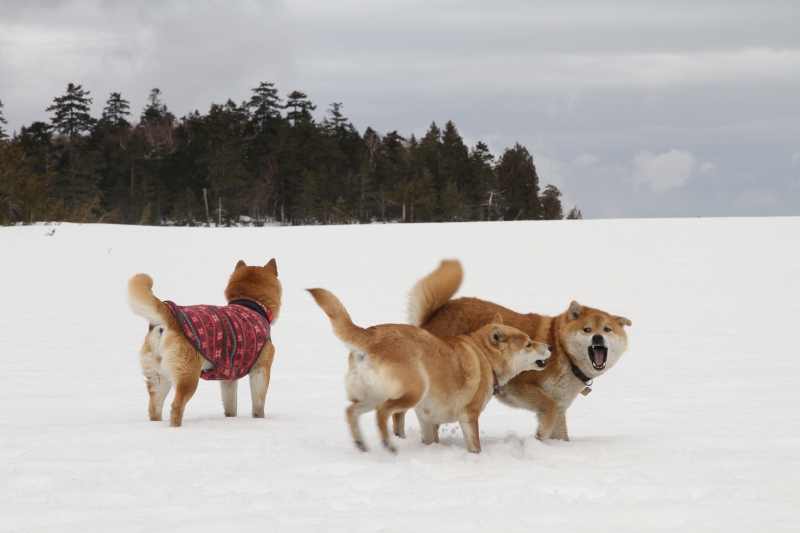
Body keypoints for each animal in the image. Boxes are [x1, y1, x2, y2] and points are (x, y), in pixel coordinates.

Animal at [127, 260, 282, 426]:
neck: (251, 303)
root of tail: (170, 319)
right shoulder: (261, 370)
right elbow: (258, 404)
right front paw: (259, 421)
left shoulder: (228, 376)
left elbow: (230, 404)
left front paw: (231, 419)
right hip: (189, 376)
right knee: (176, 405)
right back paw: (176, 427)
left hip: (158, 376)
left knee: (154, 407)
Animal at [306, 286, 552, 454]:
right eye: (528, 343)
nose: (549, 347)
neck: (483, 357)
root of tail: (371, 335)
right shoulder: (468, 416)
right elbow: (475, 447)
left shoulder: (426, 418)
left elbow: (431, 440)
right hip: (411, 393)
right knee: (382, 412)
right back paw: (388, 444)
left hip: (373, 395)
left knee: (351, 411)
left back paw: (361, 443)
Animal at [406, 260, 632, 440]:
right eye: (587, 329)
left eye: (607, 329)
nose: (598, 337)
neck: (564, 353)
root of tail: (432, 316)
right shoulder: (522, 386)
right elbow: (548, 407)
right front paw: (541, 434)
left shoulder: (561, 405)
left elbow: (560, 430)